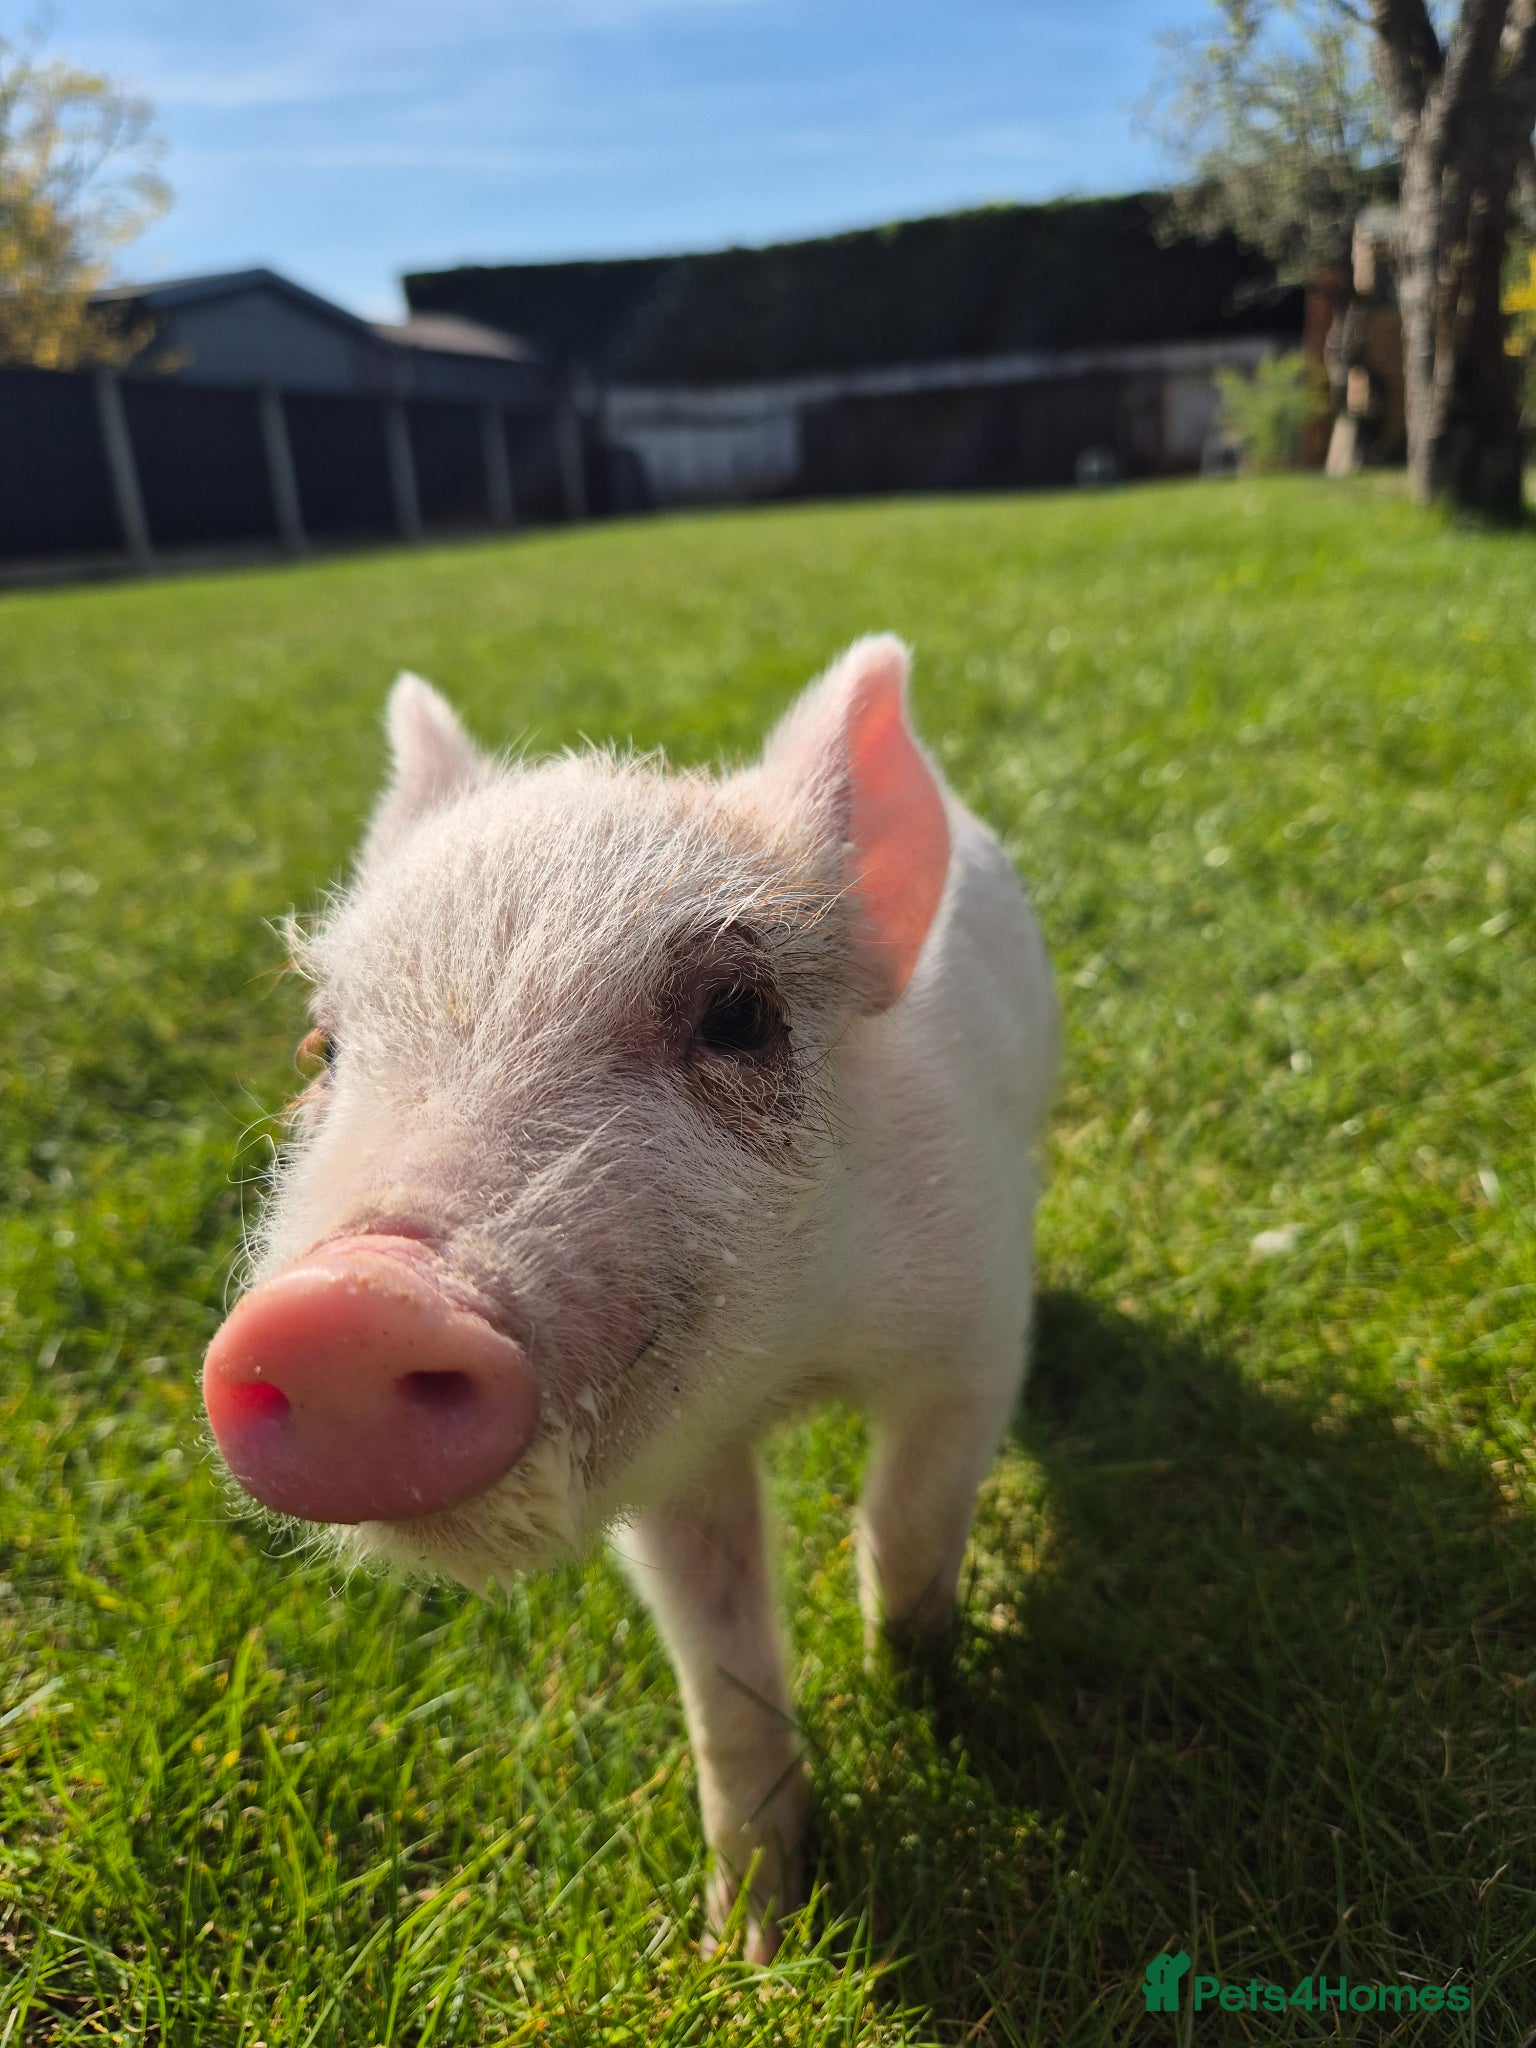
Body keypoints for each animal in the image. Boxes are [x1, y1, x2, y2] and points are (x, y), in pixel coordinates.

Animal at [202, 634, 1058, 1960]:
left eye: (739, 1013)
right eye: (320, 1049)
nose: (347, 1302)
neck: (791, 1367)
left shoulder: (975, 1320)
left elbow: (908, 1519)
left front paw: (919, 1685)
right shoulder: (668, 1466)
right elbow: (723, 1669)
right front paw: (745, 1945)